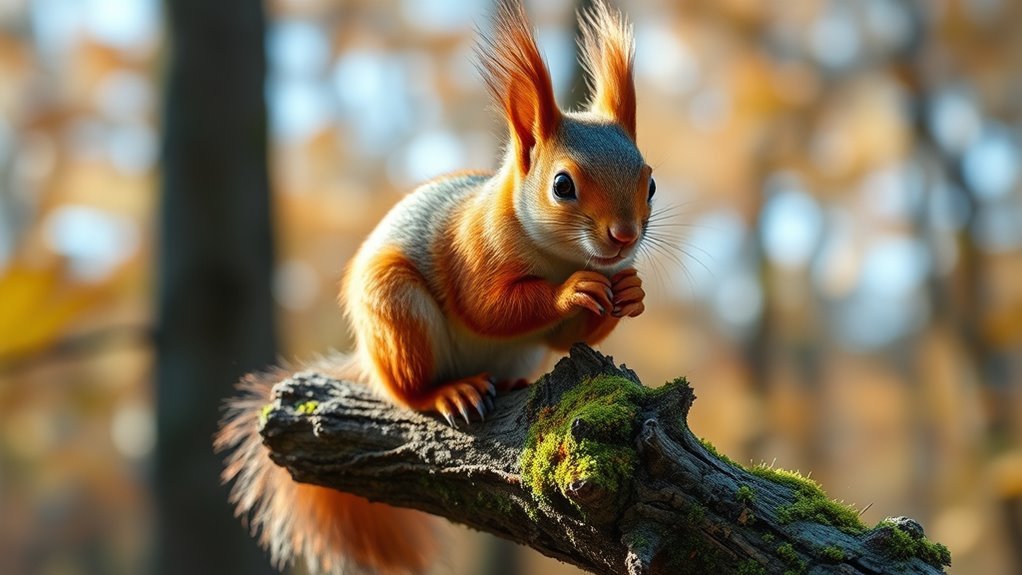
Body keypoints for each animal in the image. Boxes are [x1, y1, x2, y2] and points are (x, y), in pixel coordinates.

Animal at [215, 1, 655, 573]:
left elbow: (565, 338)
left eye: (650, 183)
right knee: (408, 391)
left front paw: (629, 293)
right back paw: (451, 392)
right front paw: (570, 292)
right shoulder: (471, 249)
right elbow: (491, 307)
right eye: (563, 185)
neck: (560, 258)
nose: (624, 237)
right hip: (398, 313)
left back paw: (510, 383)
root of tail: (368, 361)